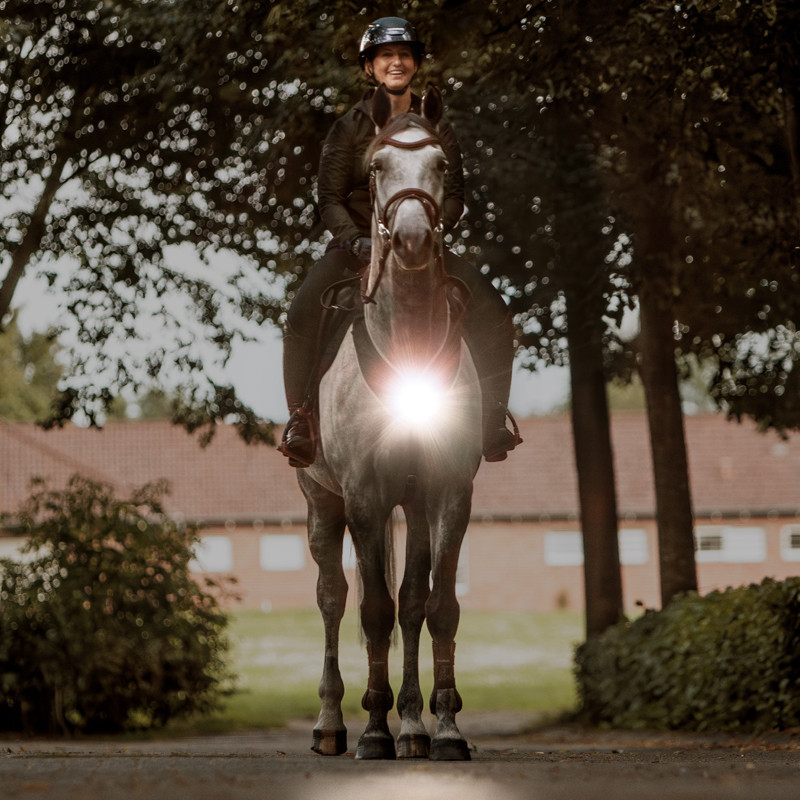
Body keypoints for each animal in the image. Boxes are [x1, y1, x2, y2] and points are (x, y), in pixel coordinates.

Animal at [296, 84, 482, 761]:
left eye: (441, 164)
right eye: (376, 166)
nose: (412, 239)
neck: (407, 344)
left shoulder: (447, 491)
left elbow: (436, 606)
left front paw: (439, 727)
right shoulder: (365, 496)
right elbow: (371, 609)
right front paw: (375, 728)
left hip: (416, 506)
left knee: (411, 602)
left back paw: (414, 725)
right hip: (323, 503)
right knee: (333, 598)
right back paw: (330, 724)